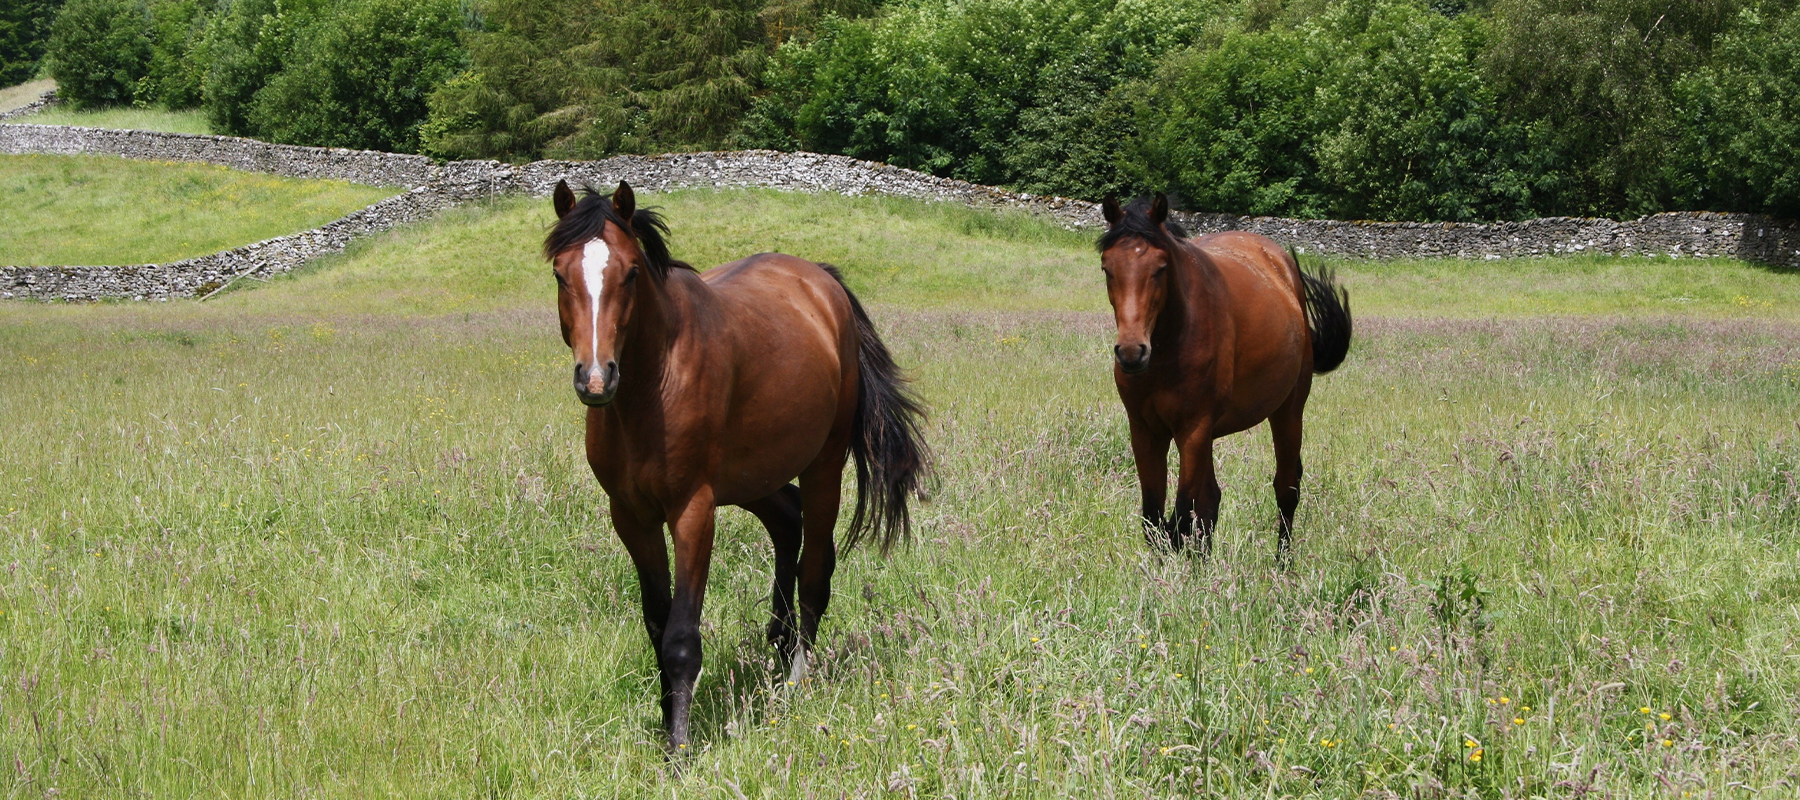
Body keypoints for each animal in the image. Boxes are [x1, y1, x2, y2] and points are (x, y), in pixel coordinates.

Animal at [543, 180, 929, 751]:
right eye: (559, 272)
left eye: (631, 272)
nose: (595, 377)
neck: (651, 388)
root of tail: (822, 284)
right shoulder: (631, 515)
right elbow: (657, 623)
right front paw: (666, 723)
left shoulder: (693, 511)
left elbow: (681, 636)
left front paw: (679, 749)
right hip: (755, 478)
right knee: (787, 522)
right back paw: (778, 642)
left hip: (822, 466)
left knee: (815, 569)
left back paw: (794, 682)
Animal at [1098, 193, 1351, 559]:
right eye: (1108, 268)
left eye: (1161, 268)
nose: (1132, 352)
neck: (1169, 347)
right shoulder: (1145, 431)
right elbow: (1155, 521)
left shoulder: (1194, 429)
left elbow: (1180, 519)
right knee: (1210, 503)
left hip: (1288, 411)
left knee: (1286, 488)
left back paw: (1282, 564)